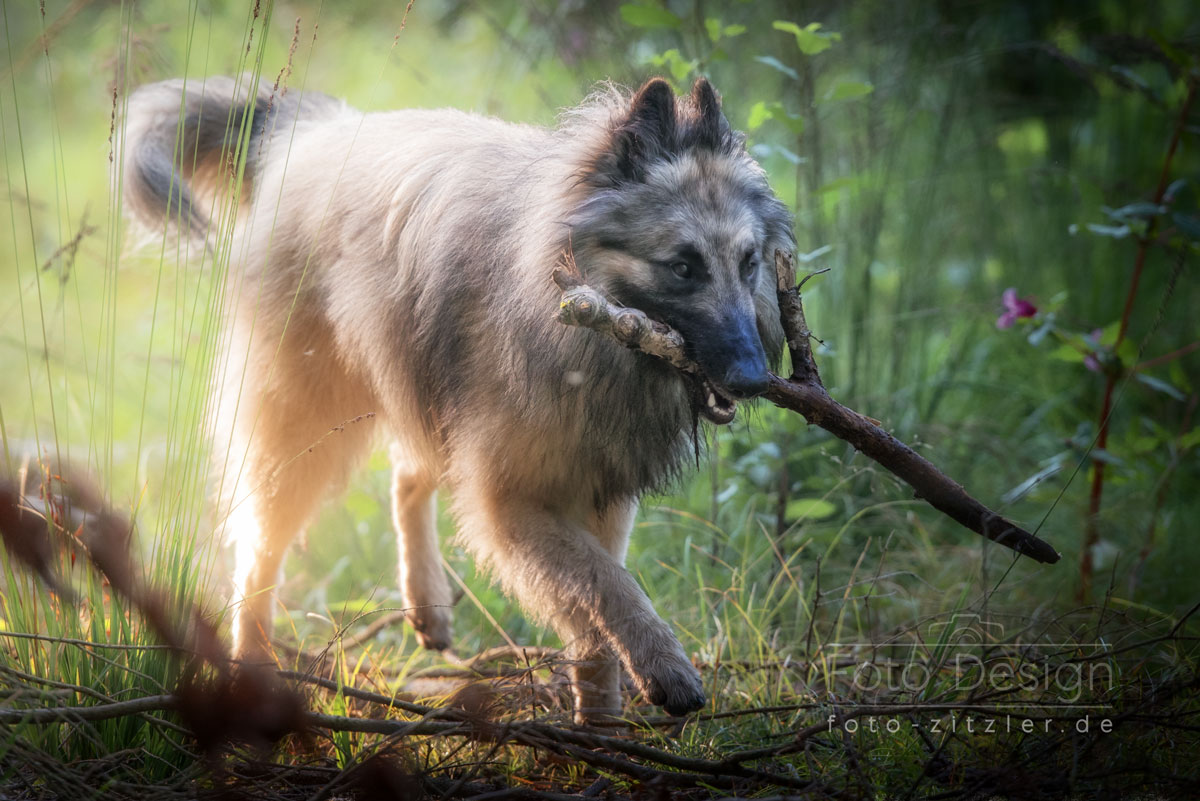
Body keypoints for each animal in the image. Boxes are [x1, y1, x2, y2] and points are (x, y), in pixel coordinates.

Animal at [121, 74, 796, 719]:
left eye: (749, 262)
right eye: (682, 267)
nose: (754, 378)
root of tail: (312, 128)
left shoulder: (598, 494)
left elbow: (594, 615)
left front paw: (602, 722)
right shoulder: (508, 502)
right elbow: (609, 588)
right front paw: (664, 667)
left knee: (406, 474)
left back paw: (428, 602)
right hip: (301, 431)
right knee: (257, 553)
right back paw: (253, 660)